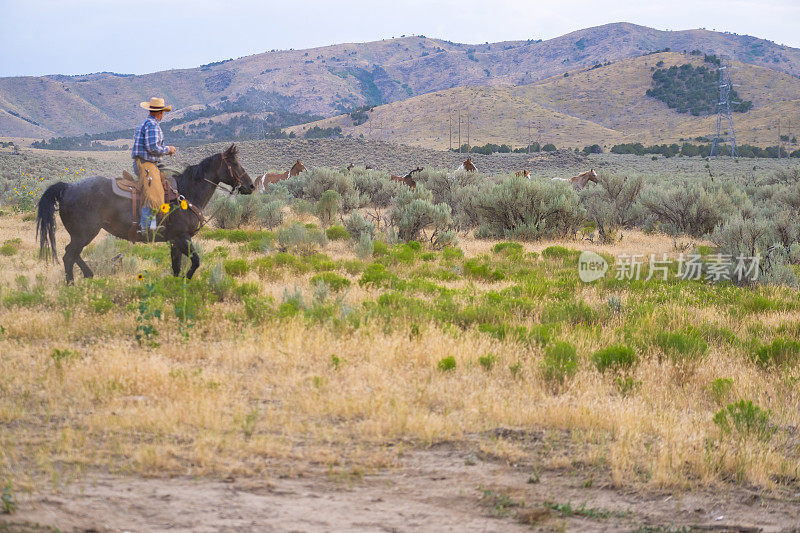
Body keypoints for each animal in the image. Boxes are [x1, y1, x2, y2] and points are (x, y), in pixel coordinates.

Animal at [36, 141, 253, 282]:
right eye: (234, 164)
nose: (250, 186)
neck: (186, 193)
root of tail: (68, 188)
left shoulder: (175, 241)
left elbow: (176, 266)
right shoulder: (182, 237)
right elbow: (195, 261)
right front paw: (188, 280)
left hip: (82, 234)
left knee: (72, 254)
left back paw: (89, 275)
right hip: (85, 233)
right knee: (69, 256)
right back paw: (72, 284)